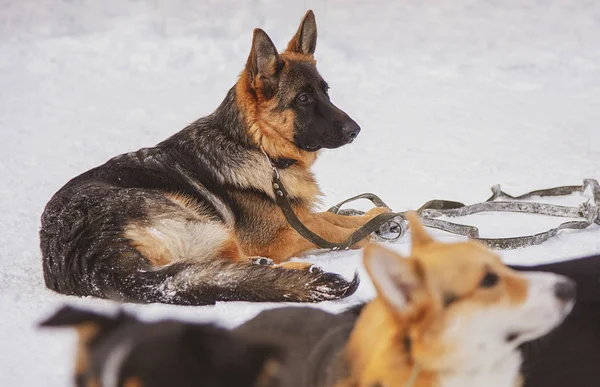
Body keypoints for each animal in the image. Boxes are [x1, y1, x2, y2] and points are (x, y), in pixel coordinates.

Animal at [39, 11, 386, 306]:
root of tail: (93, 255)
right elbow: (336, 231)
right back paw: (294, 270)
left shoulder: (295, 217)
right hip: (207, 223)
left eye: (326, 92)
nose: (355, 130)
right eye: (303, 99)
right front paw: (376, 225)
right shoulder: (280, 235)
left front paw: (381, 216)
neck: (258, 147)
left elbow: (332, 218)